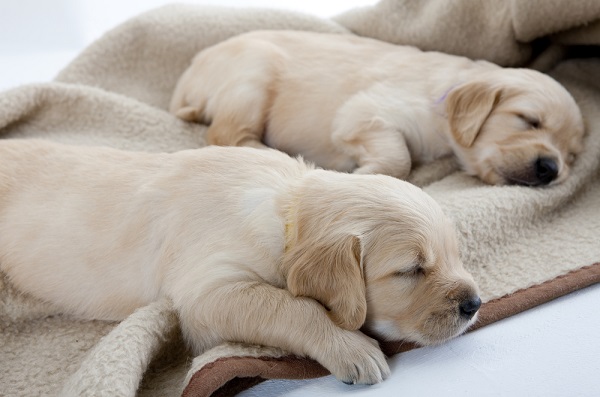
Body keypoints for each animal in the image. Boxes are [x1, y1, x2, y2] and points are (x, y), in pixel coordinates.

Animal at [0, 139, 480, 384]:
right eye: (411, 270)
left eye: (455, 254)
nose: (474, 304)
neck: (286, 211)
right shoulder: (206, 297)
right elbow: (293, 306)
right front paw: (352, 348)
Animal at [171, 30, 584, 186]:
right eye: (529, 121)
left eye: (571, 155)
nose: (551, 169)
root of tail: (185, 80)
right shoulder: (365, 112)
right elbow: (399, 159)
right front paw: (363, 173)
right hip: (253, 73)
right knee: (226, 134)